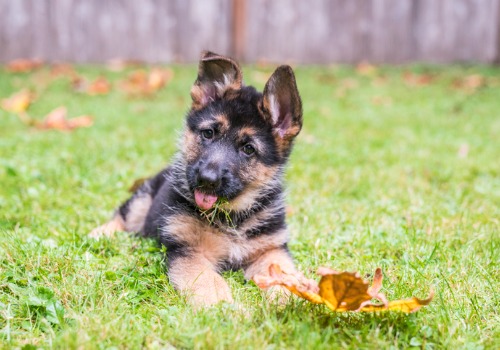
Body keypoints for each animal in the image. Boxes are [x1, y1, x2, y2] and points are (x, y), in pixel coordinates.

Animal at [91, 50, 302, 308]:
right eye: (208, 133)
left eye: (248, 149)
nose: (206, 179)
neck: (232, 217)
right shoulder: (189, 251)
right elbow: (210, 283)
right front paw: (227, 309)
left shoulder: (271, 250)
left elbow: (284, 274)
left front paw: (293, 299)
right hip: (142, 200)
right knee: (123, 216)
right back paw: (99, 234)